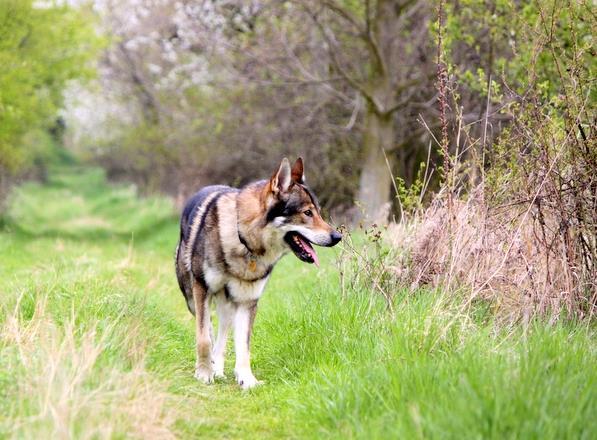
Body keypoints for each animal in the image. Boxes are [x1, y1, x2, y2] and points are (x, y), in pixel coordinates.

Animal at [173, 157, 340, 388]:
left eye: (319, 212)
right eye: (307, 213)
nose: (338, 237)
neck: (244, 241)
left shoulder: (248, 301)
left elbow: (244, 347)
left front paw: (247, 380)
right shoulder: (202, 290)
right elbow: (204, 338)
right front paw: (204, 373)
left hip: (228, 306)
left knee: (222, 334)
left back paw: (219, 368)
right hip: (192, 298)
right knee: (208, 328)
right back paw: (212, 366)